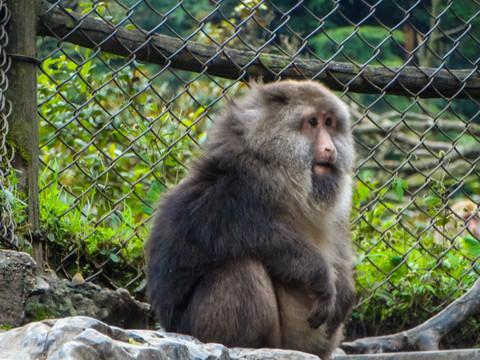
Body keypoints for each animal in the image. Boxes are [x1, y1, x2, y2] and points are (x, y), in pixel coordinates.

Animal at [146, 80, 356, 358]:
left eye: (329, 122)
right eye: (312, 123)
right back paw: (247, 345)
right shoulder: (243, 178)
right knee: (242, 268)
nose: (329, 148)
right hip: (196, 329)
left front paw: (345, 294)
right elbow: (220, 229)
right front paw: (318, 273)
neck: (284, 173)